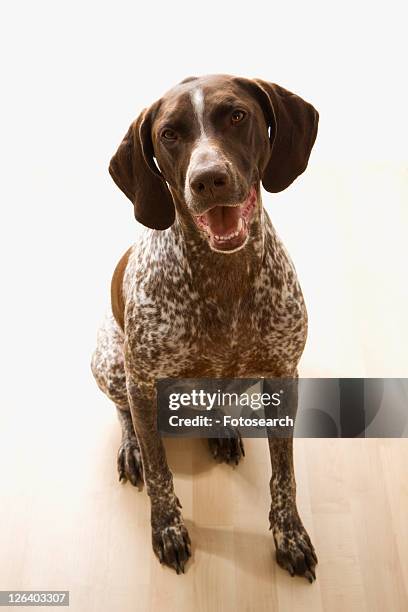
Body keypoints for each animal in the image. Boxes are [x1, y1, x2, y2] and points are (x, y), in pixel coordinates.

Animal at [91, 74, 320, 580]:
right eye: (169, 134)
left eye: (236, 115)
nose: (208, 179)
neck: (222, 277)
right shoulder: (141, 380)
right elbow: (160, 472)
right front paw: (167, 528)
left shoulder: (283, 376)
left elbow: (286, 475)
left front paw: (290, 534)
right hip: (109, 364)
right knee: (126, 414)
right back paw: (133, 447)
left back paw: (222, 430)